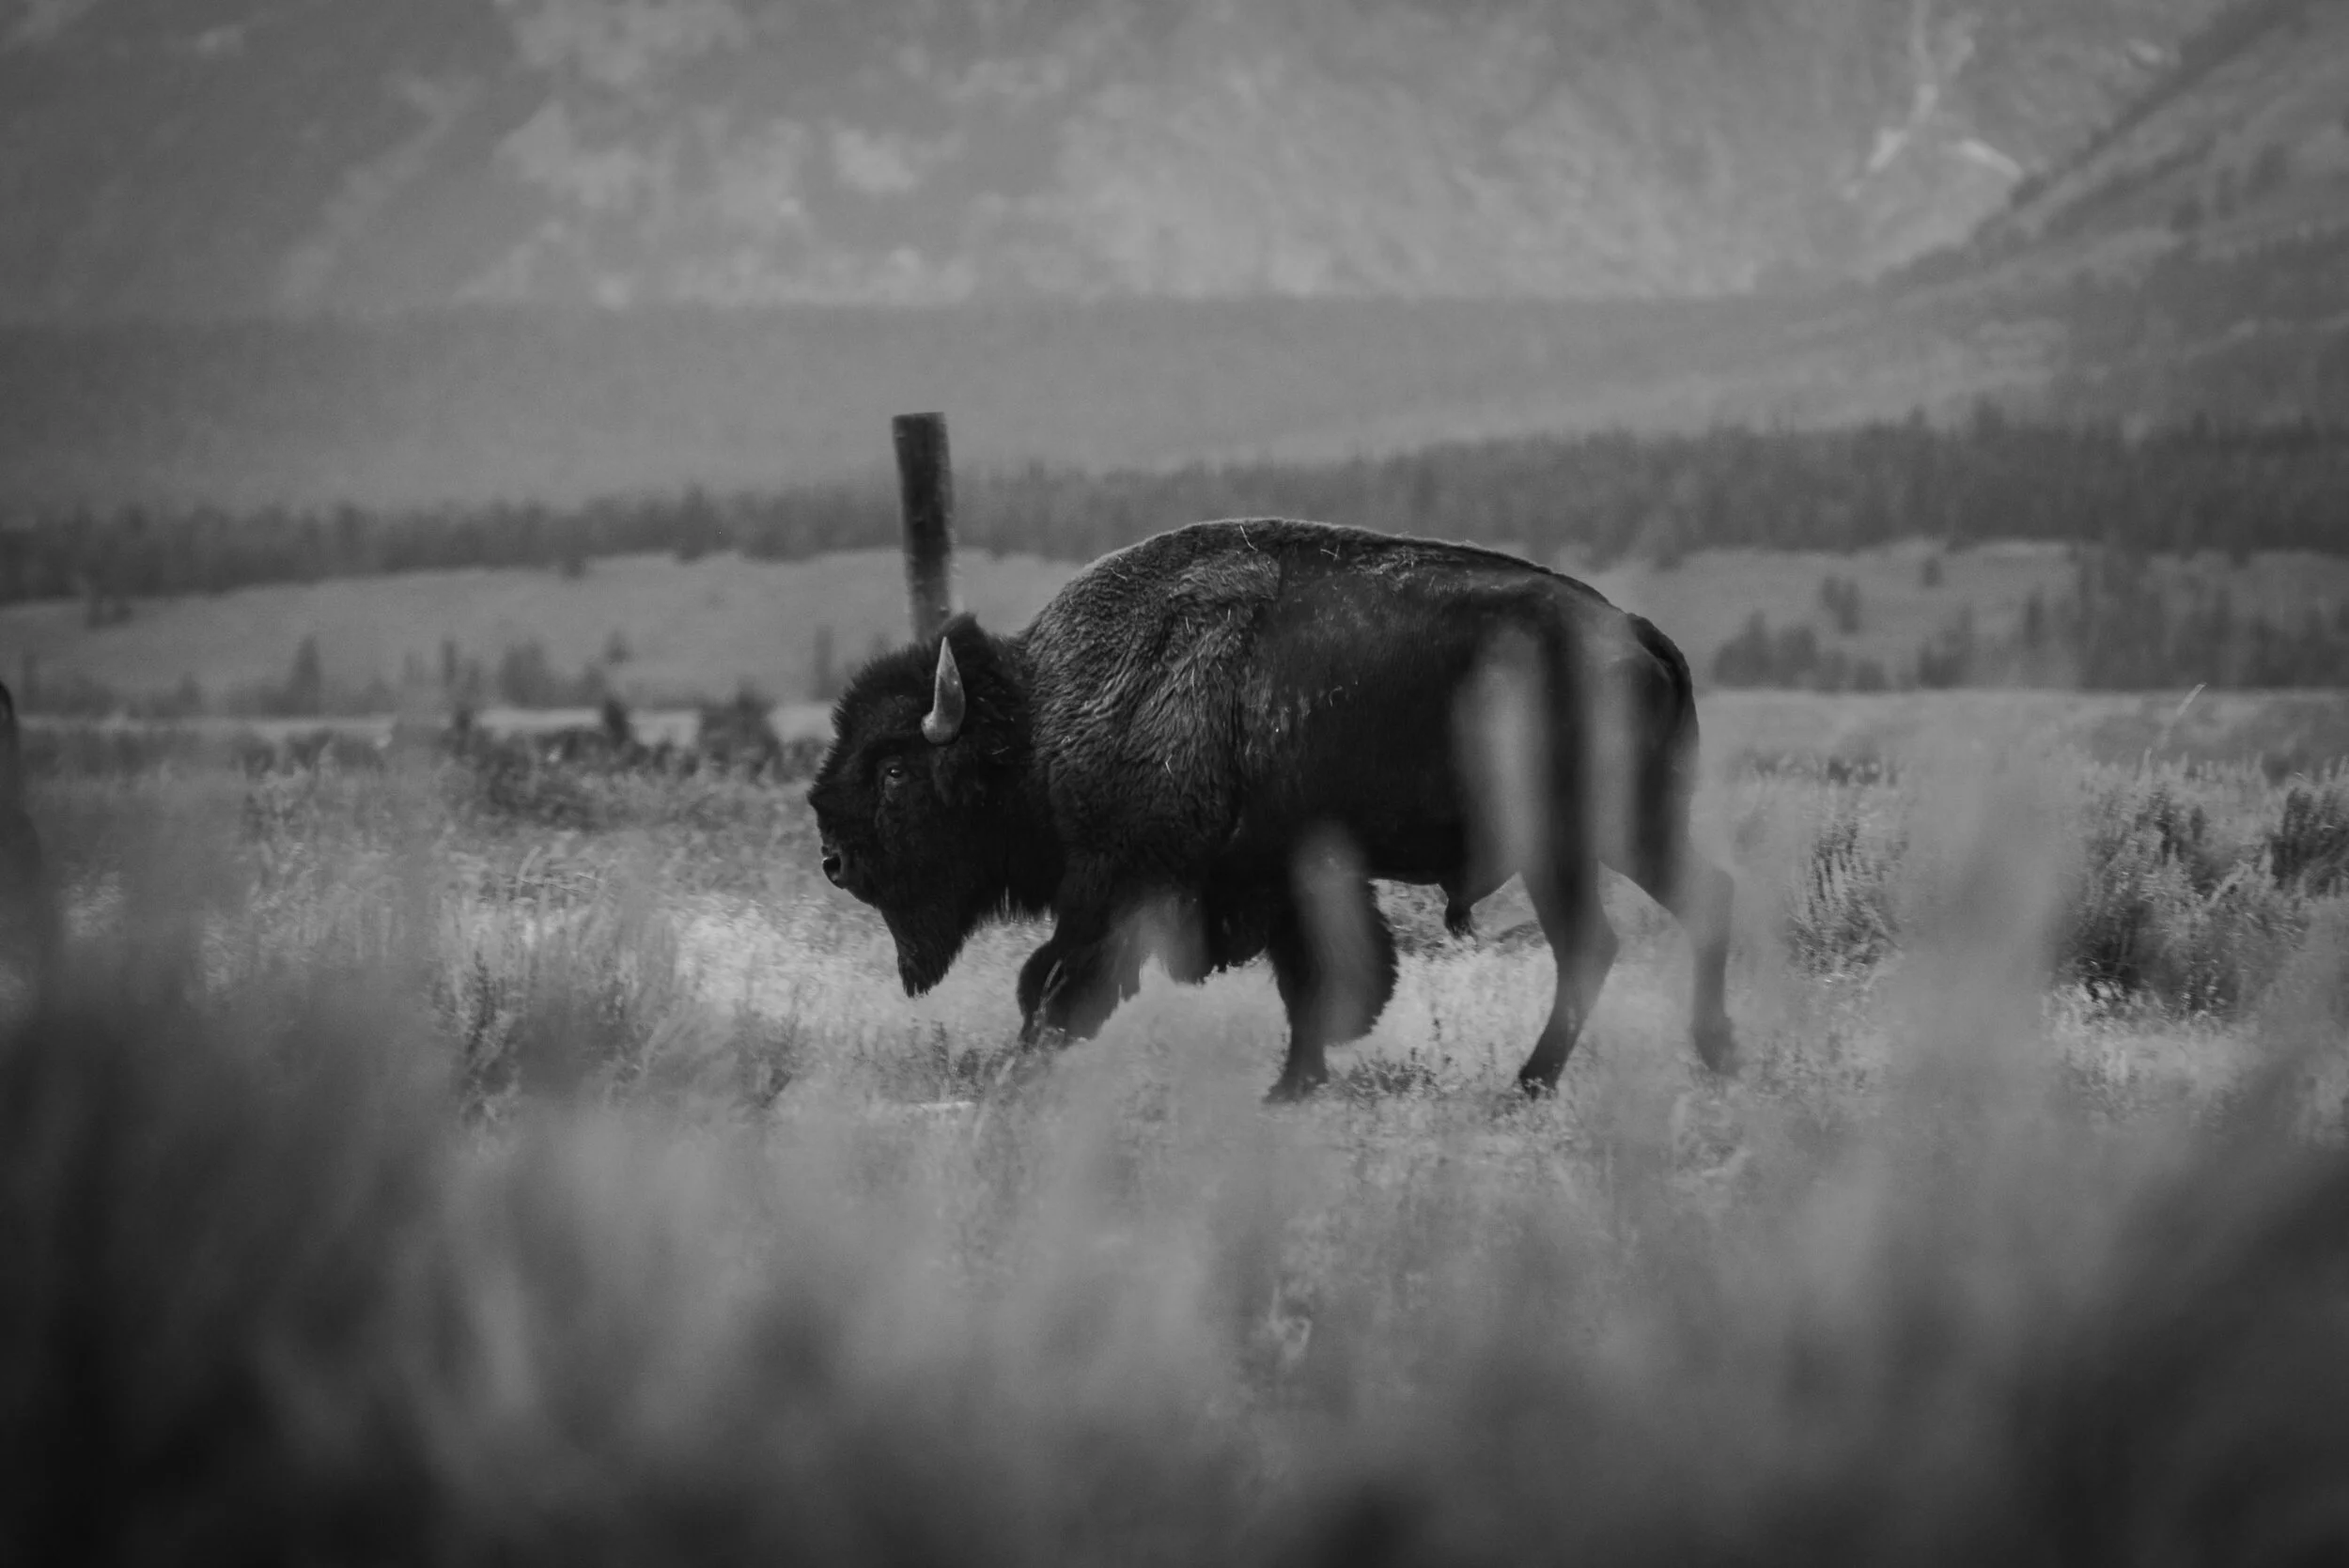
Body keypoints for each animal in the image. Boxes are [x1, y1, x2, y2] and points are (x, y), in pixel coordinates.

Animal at [810, 518, 1734, 1098]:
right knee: (1694, 905)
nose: (833, 858)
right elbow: (1315, 983)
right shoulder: (1283, 879)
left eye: (893, 771)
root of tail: (1636, 633)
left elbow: (1052, 982)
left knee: (1594, 943)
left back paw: (1532, 1085)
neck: (1039, 716)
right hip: (1627, 833)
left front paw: (1019, 1070)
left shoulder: (1116, 885)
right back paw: (1710, 1056)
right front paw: (1293, 1085)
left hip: (1570, 840)